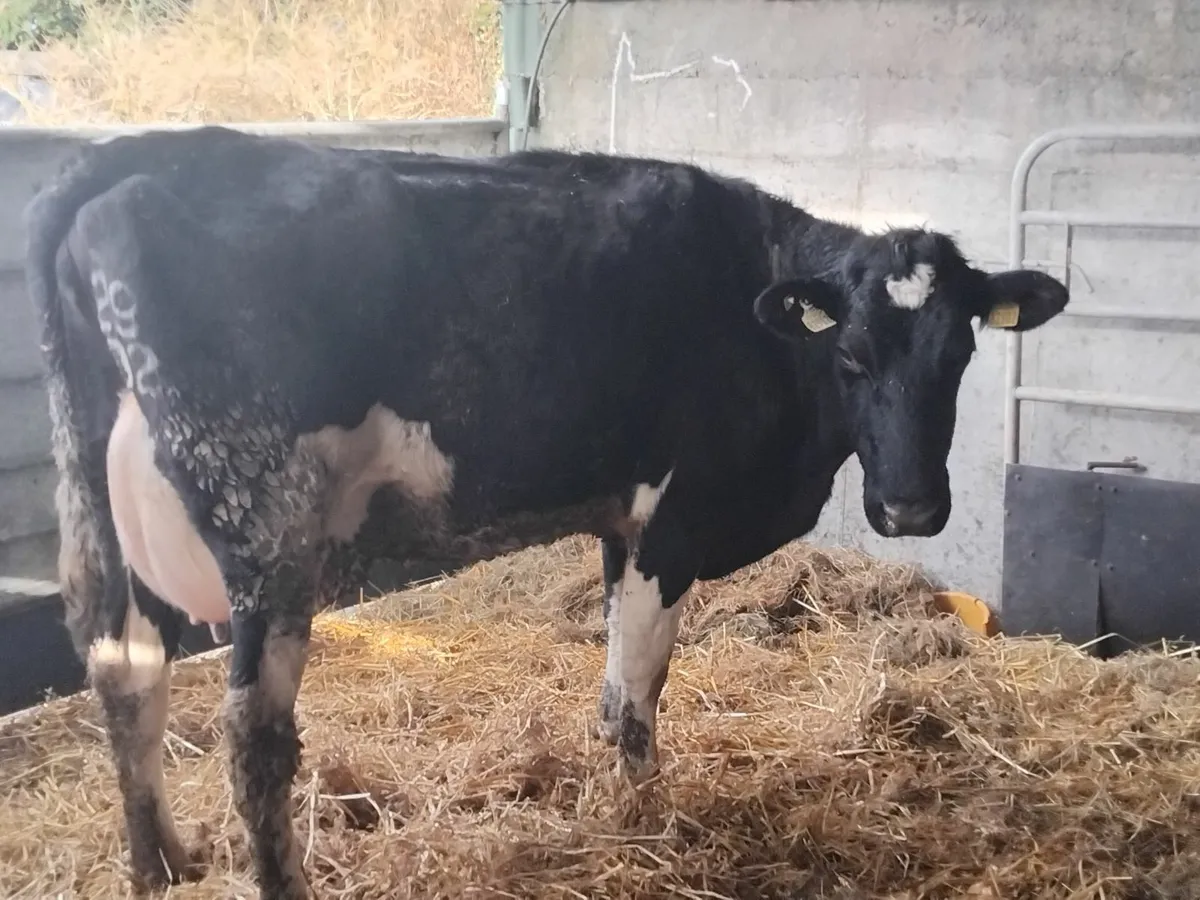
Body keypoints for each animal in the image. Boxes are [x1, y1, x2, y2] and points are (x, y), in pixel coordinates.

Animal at [24, 125, 1068, 899]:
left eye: (960, 355)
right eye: (850, 355)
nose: (911, 507)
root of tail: (130, 155)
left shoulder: (622, 524)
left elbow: (617, 684)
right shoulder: (673, 522)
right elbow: (638, 694)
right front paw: (648, 818)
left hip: (101, 501)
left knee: (123, 667)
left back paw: (161, 864)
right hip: (265, 520)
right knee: (253, 735)